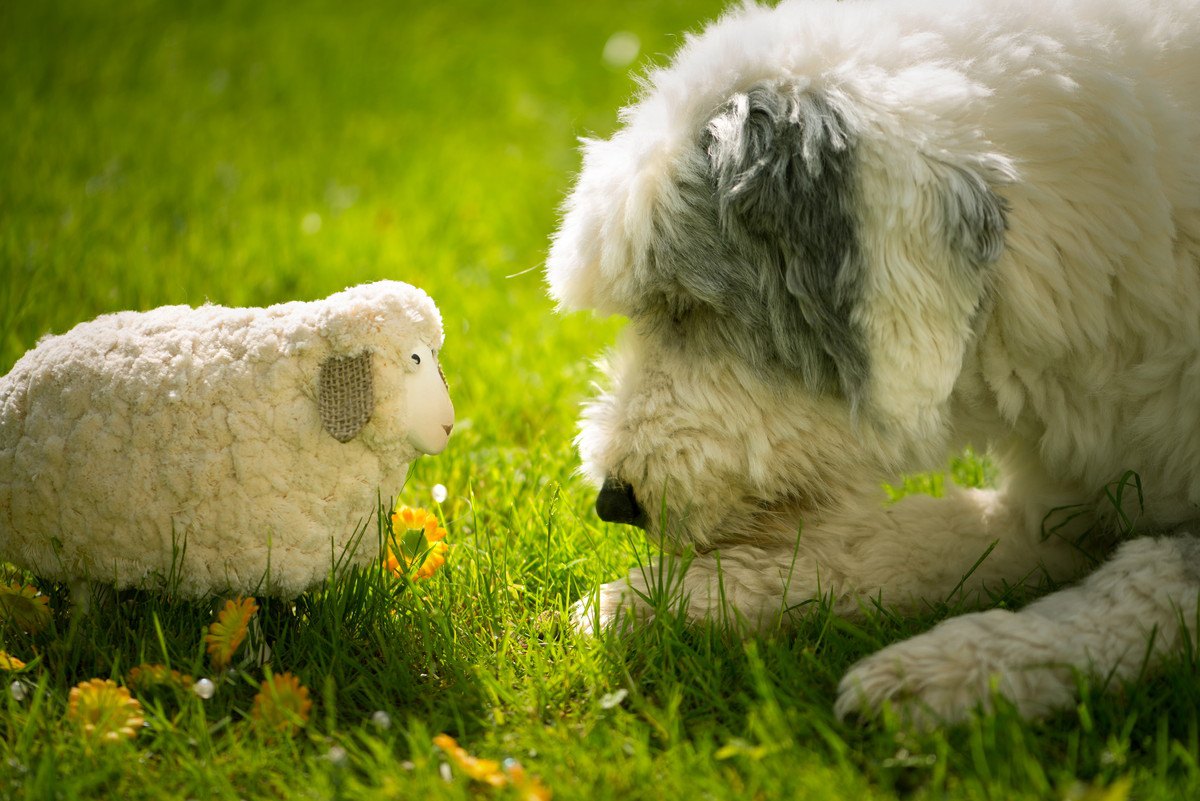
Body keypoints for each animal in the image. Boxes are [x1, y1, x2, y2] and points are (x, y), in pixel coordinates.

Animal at [549, 0, 1200, 724]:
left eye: (686, 306)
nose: (612, 501)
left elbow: (1142, 583)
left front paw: (945, 672)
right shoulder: (1054, 513)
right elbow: (893, 535)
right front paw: (659, 597)